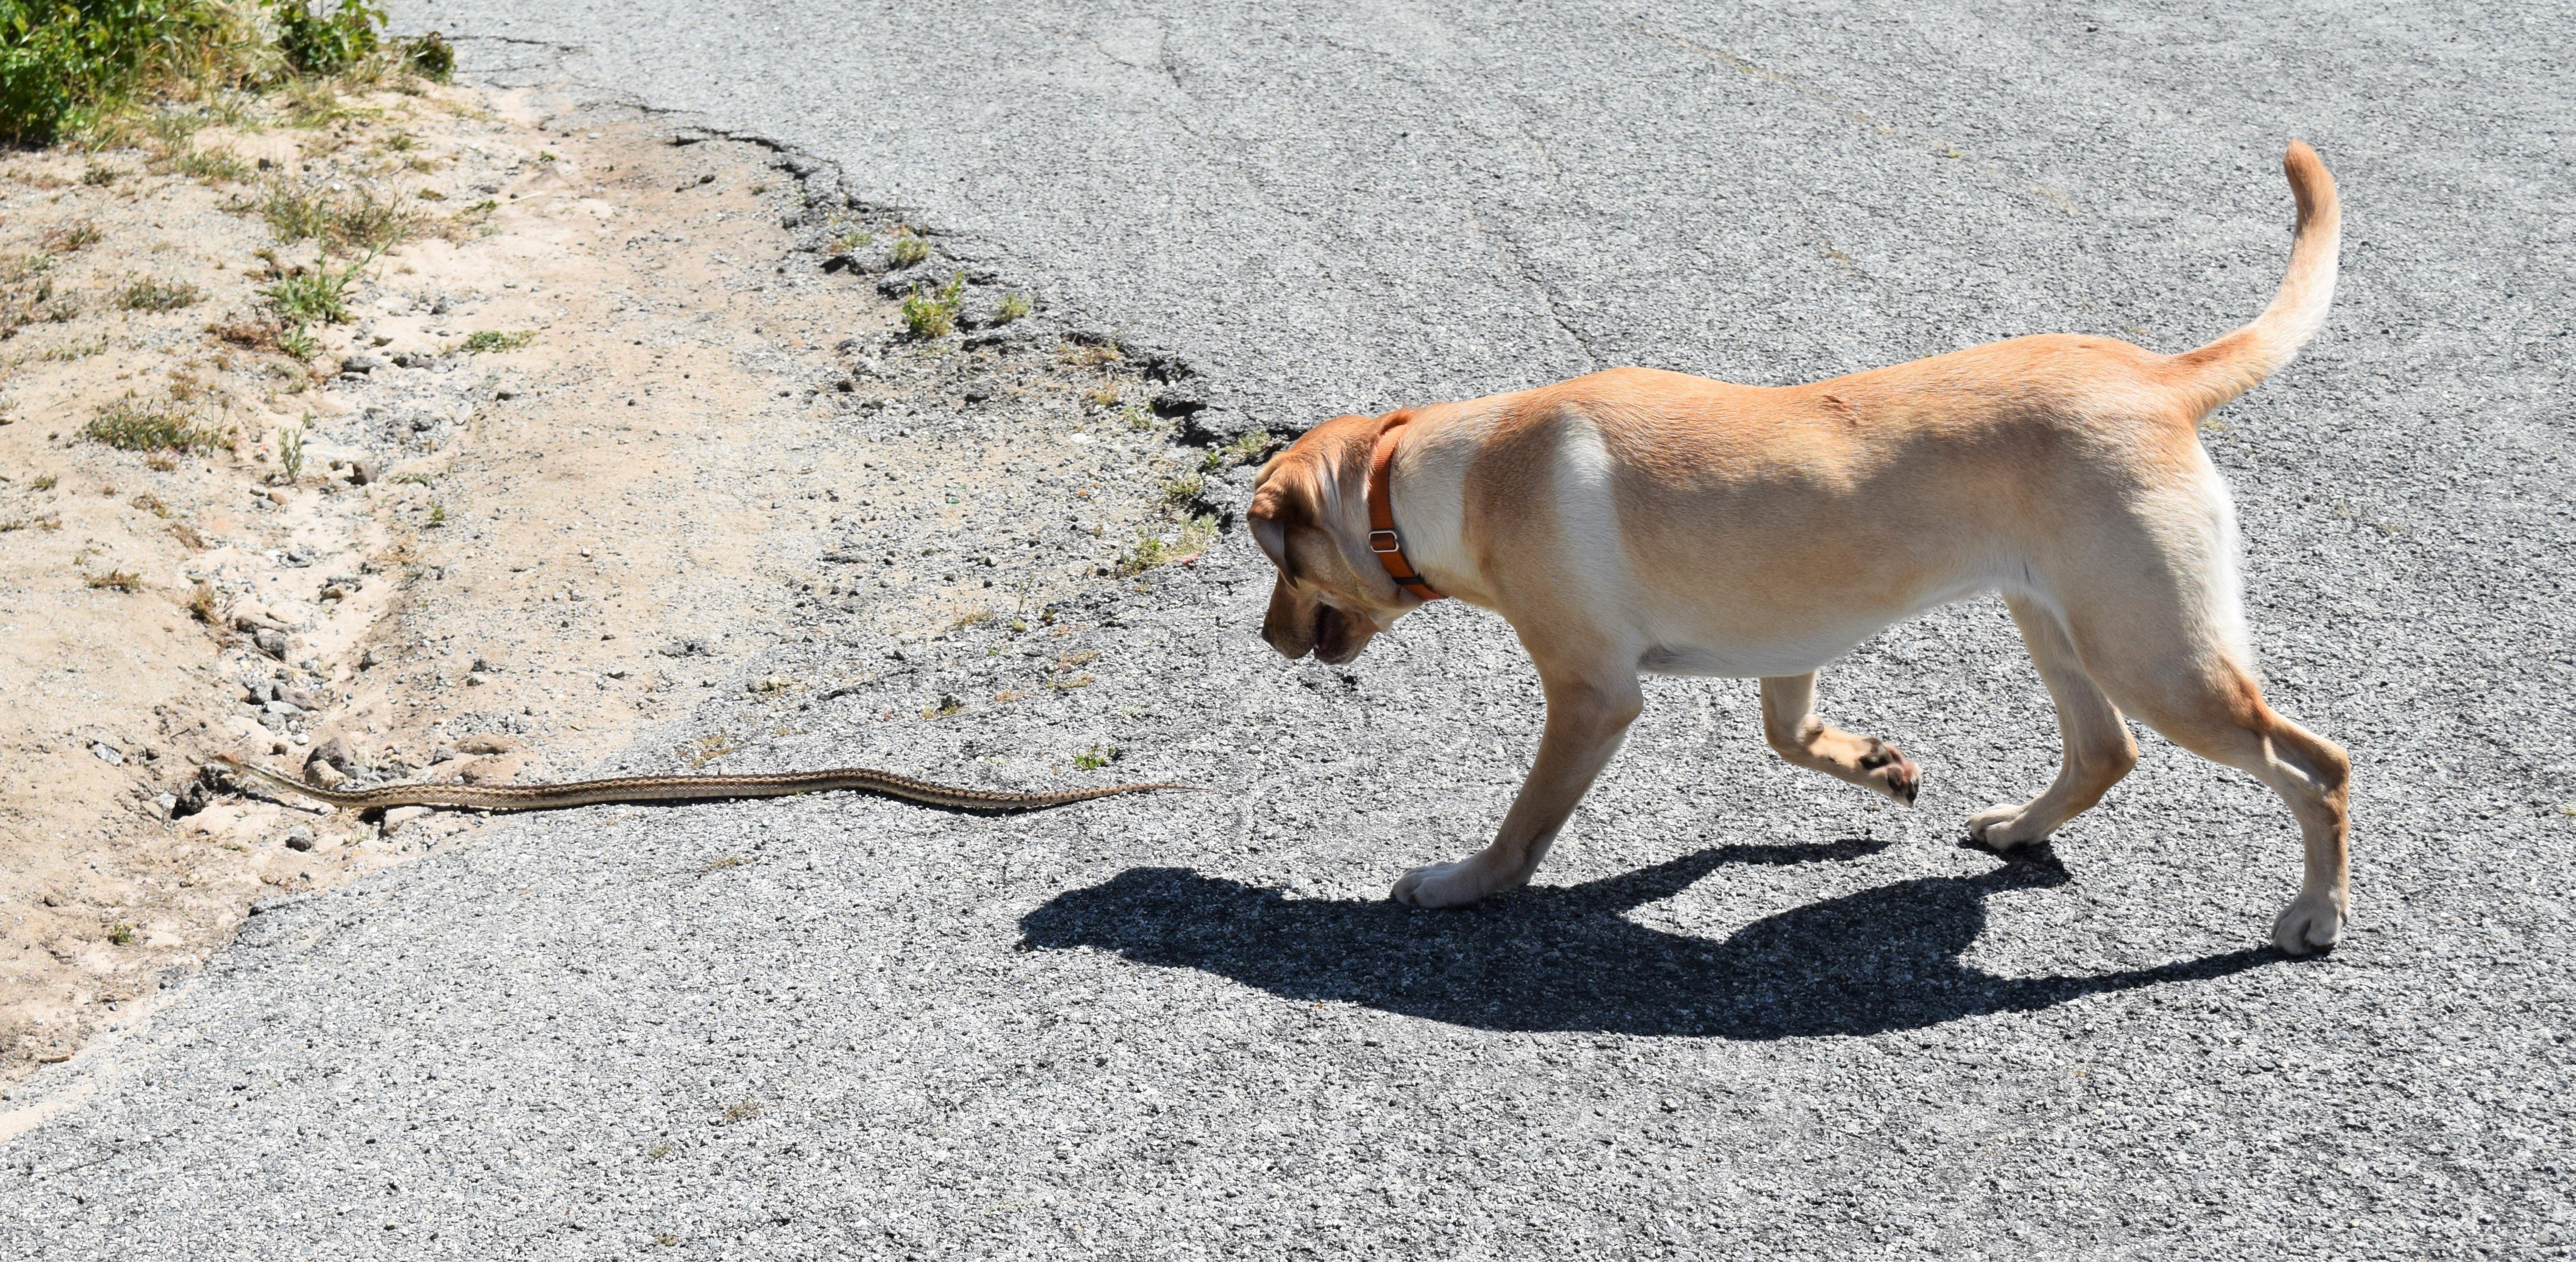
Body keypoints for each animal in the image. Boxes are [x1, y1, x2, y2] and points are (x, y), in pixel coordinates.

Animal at [1252, 142, 2359, 958]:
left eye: (1280, 565)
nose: (1265, 640)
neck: (1453, 473)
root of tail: (2159, 378)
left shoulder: (1590, 696)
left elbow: (1525, 824)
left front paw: (1464, 884)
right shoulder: (1789, 648)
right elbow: (1791, 737)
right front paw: (1874, 765)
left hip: (2156, 654)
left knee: (2319, 767)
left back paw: (2317, 912)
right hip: (2059, 620)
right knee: (2105, 750)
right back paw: (2021, 829)